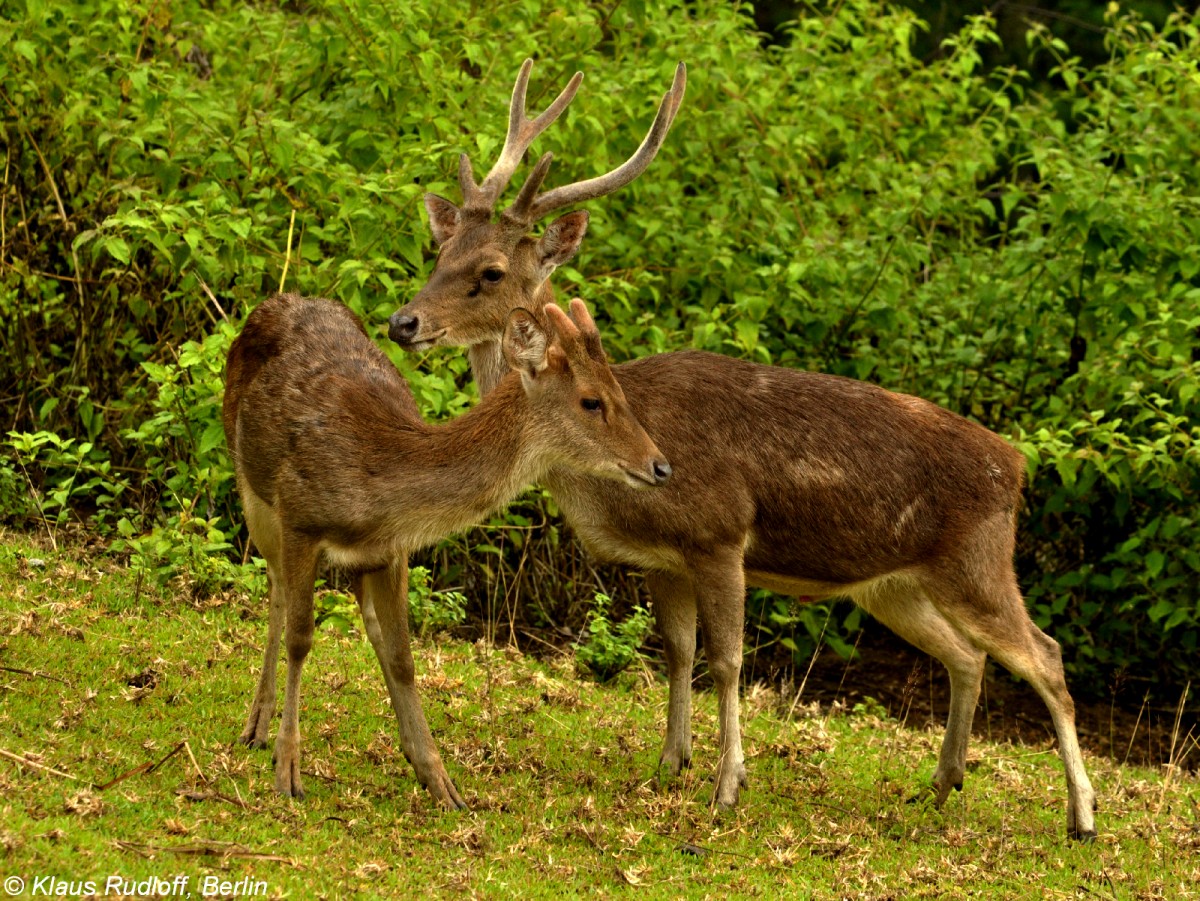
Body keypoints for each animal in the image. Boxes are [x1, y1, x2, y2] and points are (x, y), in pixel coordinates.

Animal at [225, 292, 672, 806]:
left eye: (620, 392)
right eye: (591, 401)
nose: (660, 466)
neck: (373, 479)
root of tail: (278, 300)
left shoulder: (392, 549)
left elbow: (402, 656)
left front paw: (439, 780)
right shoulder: (298, 516)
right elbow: (301, 638)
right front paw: (287, 771)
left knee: (366, 624)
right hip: (250, 487)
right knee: (276, 591)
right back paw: (256, 725)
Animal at [384, 61, 1099, 839]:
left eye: (488, 271)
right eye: (440, 250)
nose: (403, 322)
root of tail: (1018, 465)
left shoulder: (721, 532)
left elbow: (727, 661)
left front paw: (728, 785)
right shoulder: (663, 558)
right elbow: (677, 651)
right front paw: (670, 763)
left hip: (978, 560)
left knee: (1048, 656)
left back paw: (1083, 815)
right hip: (895, 584)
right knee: (968, 656)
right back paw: (940, 784)